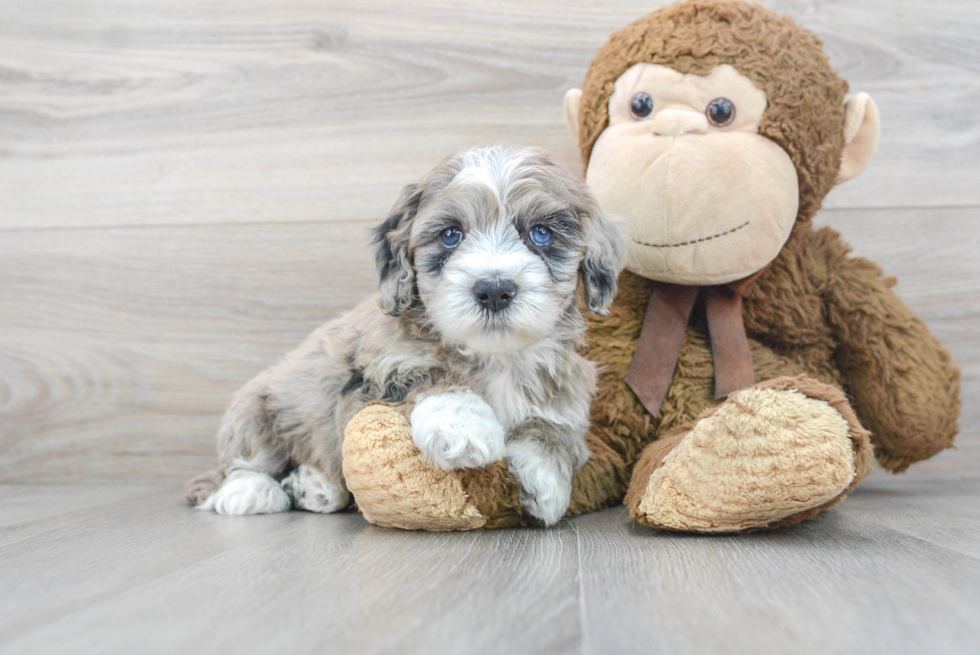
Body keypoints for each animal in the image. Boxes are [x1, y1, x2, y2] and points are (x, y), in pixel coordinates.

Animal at [184, 146, 628, 524]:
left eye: (541, 234)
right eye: (450, 235)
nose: (493, 289)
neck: (493, 356)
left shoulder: (566, 392)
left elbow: (554, 428)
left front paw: (546, 481)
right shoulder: (366, 381)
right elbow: (425, 373)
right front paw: (464, 428)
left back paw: (315, 487)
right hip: (255, 410)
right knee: (241, 464)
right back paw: (251, 493)